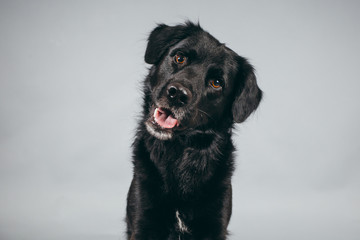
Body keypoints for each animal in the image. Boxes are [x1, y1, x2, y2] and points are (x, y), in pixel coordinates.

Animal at [126, 21, 262, 239]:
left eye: (217, 83)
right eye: (179, 58)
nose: (177, 94)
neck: (180, 152)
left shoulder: (215, 224)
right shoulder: (143, 221)